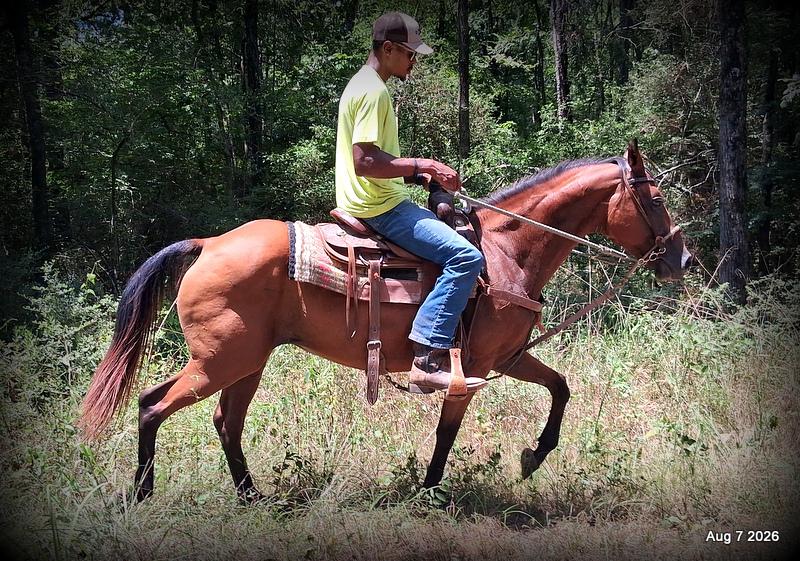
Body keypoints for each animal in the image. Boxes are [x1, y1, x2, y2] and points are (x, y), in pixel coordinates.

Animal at [79, 141, 693, 503]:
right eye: (656, 199)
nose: (682, 260)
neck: (504, 254)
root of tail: (209, 244)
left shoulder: (509, 358)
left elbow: (561, 388)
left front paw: (533, 457)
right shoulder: (468, 370)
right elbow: (447, 434)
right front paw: (430, 493)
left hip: (245, 363)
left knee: (226, 424)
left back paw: (253, 499)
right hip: (219, 361)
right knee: (153, 404)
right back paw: (143, 495)